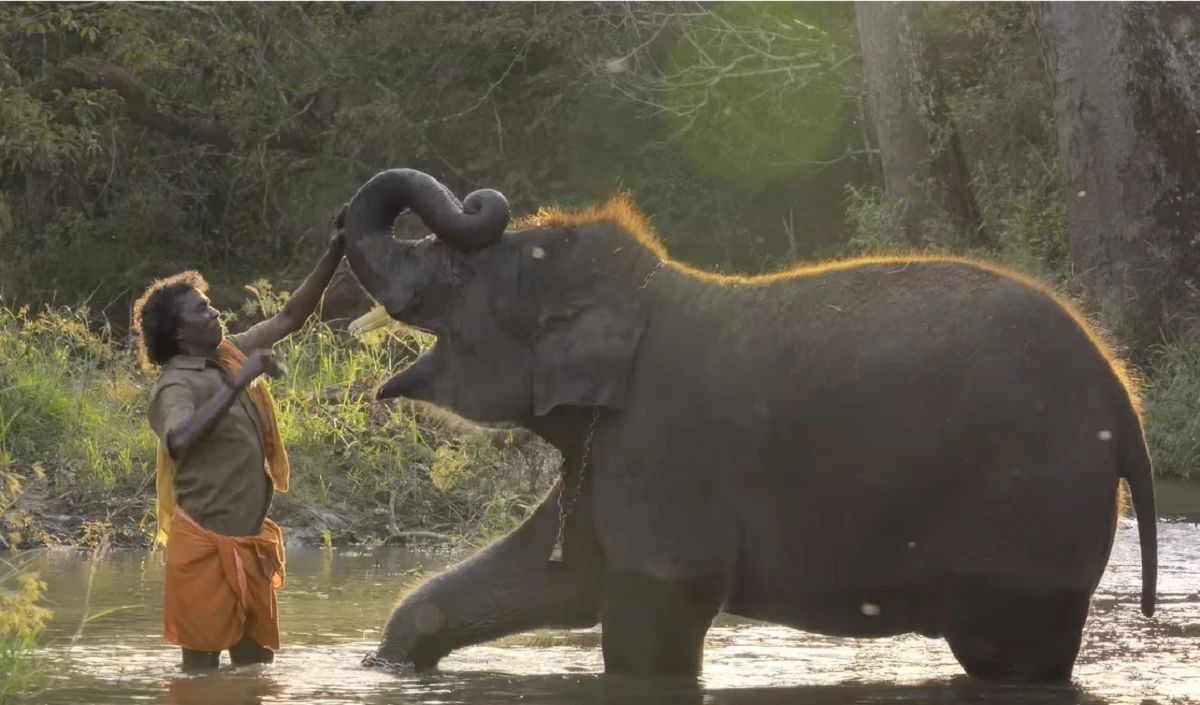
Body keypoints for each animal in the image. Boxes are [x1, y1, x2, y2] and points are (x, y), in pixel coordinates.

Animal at [336, 166, 1152, 681]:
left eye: (457, 274)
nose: (480, 198)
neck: (641, 292)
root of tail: (1122, 397)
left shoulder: (666, 445)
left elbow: (651, 613)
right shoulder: (611, 447)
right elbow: (555, 575)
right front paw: (389, 663)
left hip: (1032, 504)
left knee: (1008, 650)